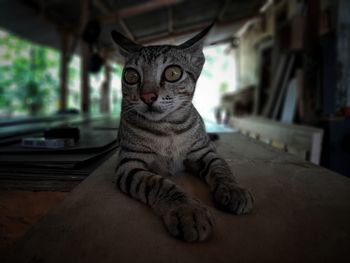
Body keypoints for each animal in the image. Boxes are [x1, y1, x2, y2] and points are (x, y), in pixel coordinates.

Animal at [111, 25, 252, 243]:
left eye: (173, 73)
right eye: (131, 76)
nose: (147, 96)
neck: (168, 129)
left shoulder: (205, 152)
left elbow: (221, 167)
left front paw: (233, 189)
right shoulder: (129, 165)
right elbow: (158, 183)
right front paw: (187, 210)